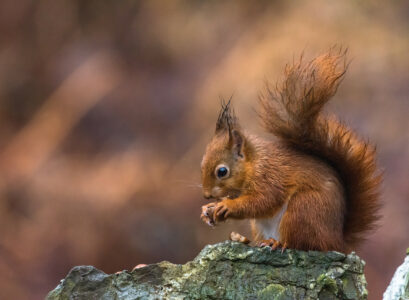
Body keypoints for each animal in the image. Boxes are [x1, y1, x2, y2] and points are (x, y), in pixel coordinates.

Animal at [199, 49, 380, 253]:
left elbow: (262, 201)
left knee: (301, 244)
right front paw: (208, 209)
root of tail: (336, 242)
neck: (254, 164)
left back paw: (276, 243)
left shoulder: (270, 178)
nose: (206, 195)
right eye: (201, 165)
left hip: (303, 209)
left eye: (222, 171)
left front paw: (228, 205)